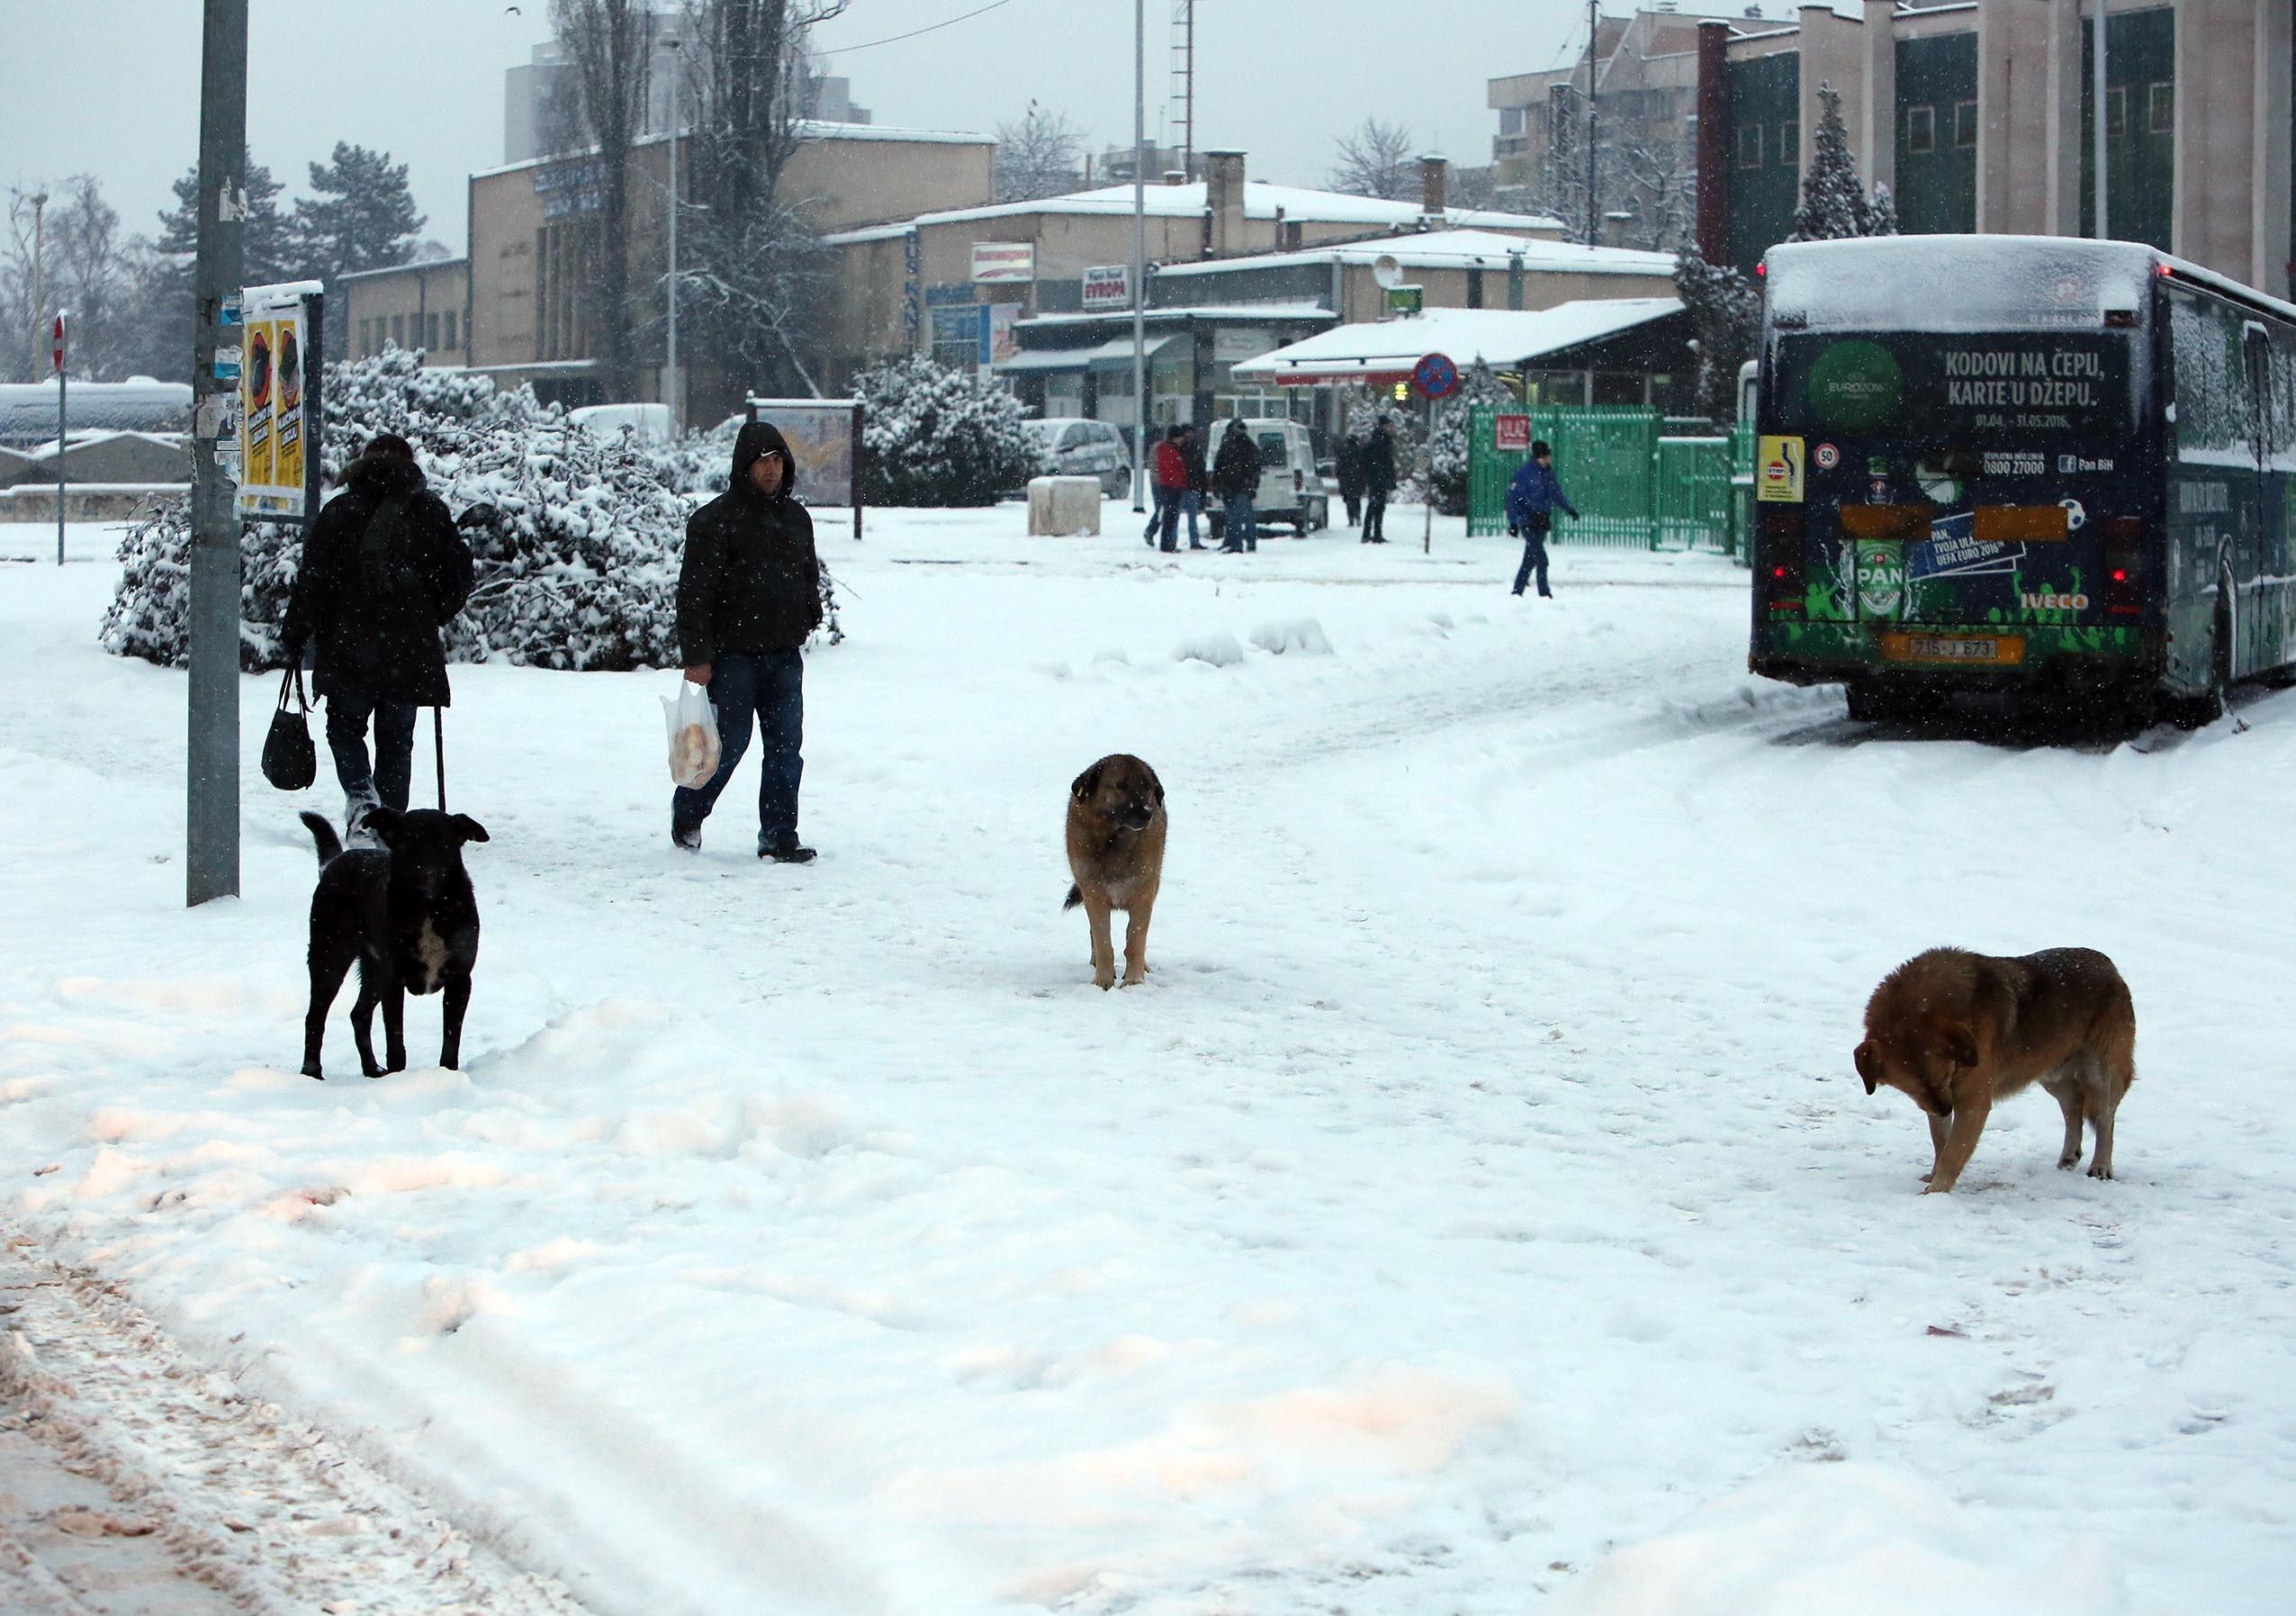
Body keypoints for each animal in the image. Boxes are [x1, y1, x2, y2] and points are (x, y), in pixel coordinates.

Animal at [298, 812, 486, 1079]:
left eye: (443, 843)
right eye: (406, 844)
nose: (424, 873)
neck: (428, 907)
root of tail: (334, 862)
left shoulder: (460, 979)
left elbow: (451, 1037)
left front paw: (448, 1073)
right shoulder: (394, 980)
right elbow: (395, 1039)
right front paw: (398, 1077)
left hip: (374, 970)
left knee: (359, 1014)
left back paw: (372, 1069)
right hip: (330, 956)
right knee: (315, 1018)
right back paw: (312, 1072)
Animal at [1060, 753, 1166, 991]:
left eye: (1147, 786)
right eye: (1120, 785)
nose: (1147, 814)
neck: (1116, 841)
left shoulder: (1143, 896)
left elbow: (1136, 940)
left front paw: (1134, 980)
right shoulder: (1095, 897)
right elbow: (1103, 942)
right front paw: (1103, 980)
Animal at [1846, 941, 2130, 1193]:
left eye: (1945, 1074)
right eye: (1912, 1088)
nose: (1946, 1109)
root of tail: (2110, 966)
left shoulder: (1972, 1102)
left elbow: (1953, 1152)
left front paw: (1936, 1192)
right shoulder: (1936, 1103)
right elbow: (1941, 1143)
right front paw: (1934, 1175)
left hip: (2101, 1073)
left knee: (2105, 1119)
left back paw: (2101, 1167)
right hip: (2051, 1074)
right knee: (2073, 1106)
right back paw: (2069, 1156)